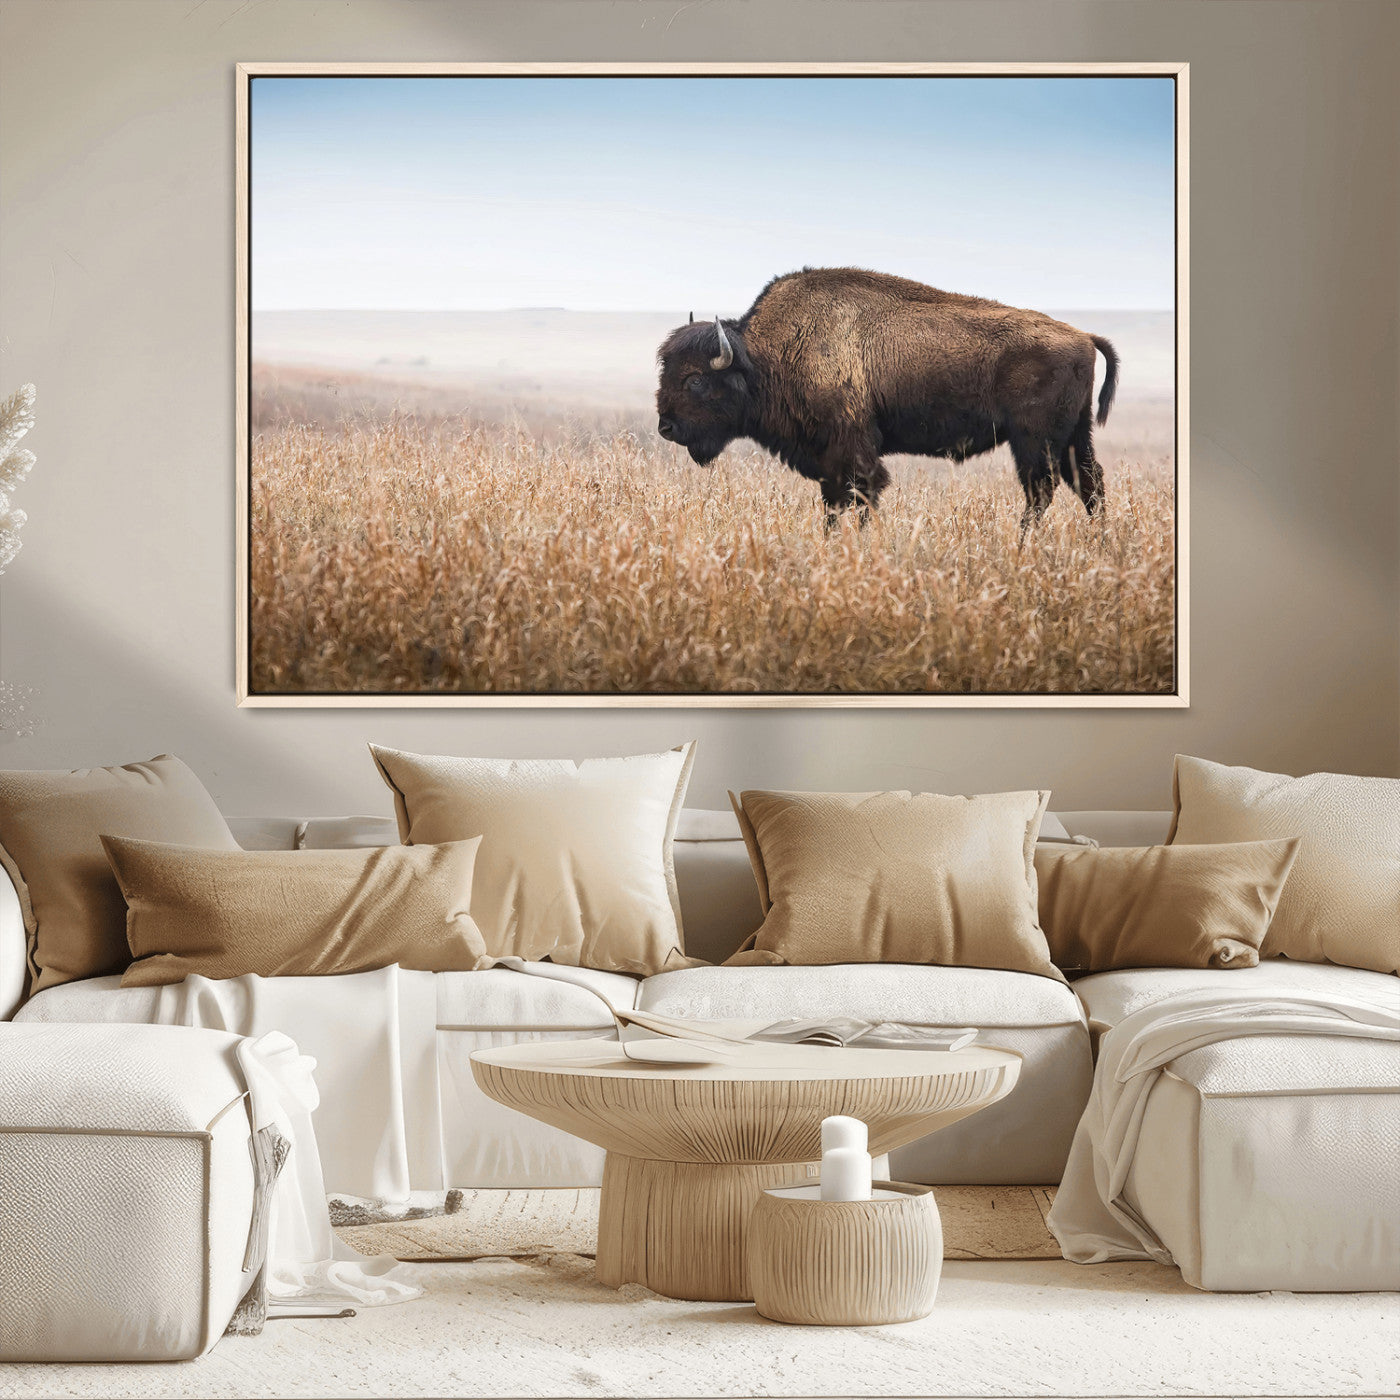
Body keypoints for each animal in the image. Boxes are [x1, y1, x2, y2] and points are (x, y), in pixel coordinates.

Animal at [656, 267, 1120, 531]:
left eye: (695, 380)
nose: (666, 427)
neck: (764, 356)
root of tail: (1083, 336)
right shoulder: (828, 461)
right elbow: (834, 505)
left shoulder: (852, 451)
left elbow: (861, 497)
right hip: (1073, 437)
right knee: (1089, 484)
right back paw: (1100, 544)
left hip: (1034, 441)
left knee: (1042, 490)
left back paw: (1024, 544)